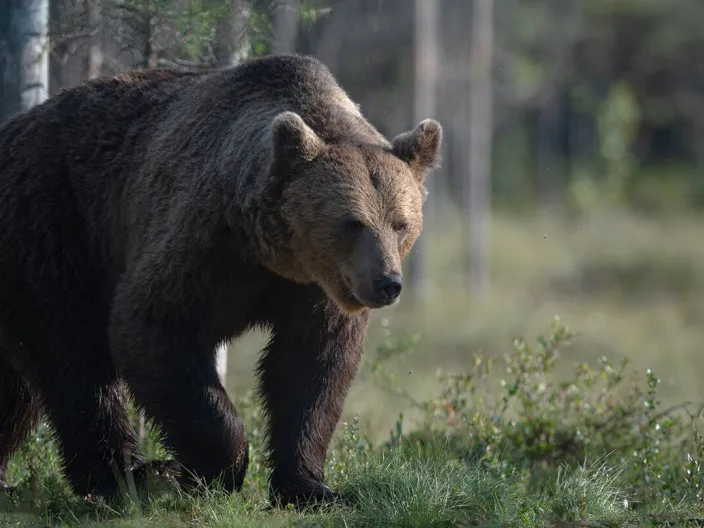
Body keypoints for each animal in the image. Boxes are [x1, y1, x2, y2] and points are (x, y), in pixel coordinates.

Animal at [0, 53, 442, 507]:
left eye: (401, 223)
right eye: (352, 222)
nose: (387, 282)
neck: (274, 254)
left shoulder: (311, 291)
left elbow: (310, 369)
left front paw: (309, 487)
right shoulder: (207, 246)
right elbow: (153, 328)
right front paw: (211, 469)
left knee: (17, 390)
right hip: (55, 223)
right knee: (74, 356)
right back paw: (126, 475)